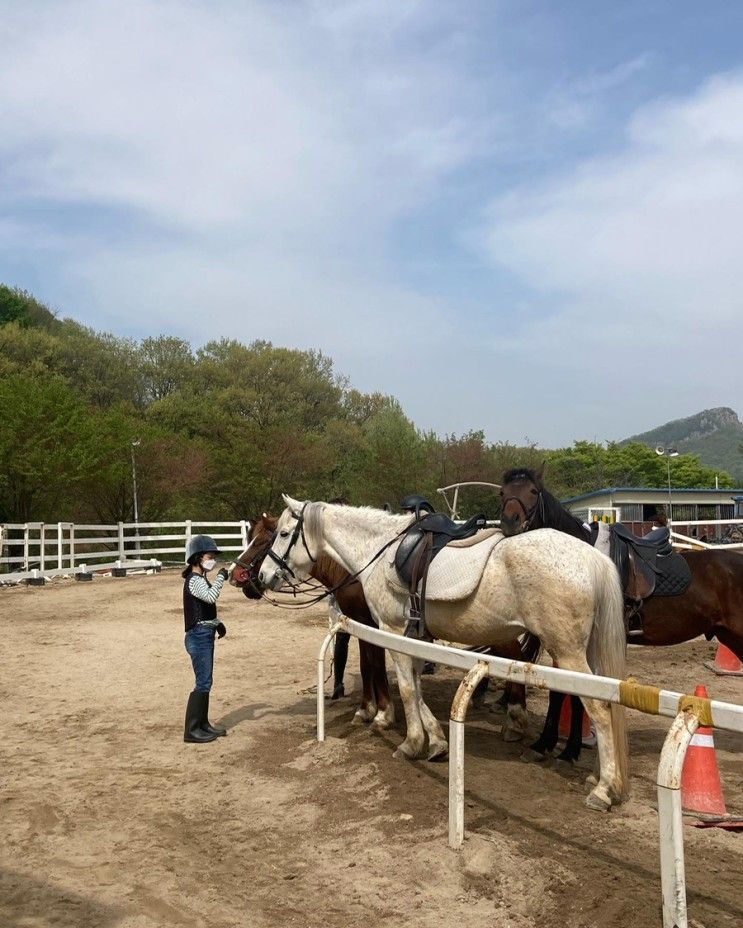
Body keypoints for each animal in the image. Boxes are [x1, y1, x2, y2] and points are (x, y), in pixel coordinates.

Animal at [232, 512, 540, 744]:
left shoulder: (375, 626)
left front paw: (381, 713)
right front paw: (368, 709)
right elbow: (368, 665)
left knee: (516, 657)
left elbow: (374, 665)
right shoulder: (362, 625)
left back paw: (514, 716)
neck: (354, 567)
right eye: (252, 538)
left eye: (266, 540)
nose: (237, 575)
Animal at [496, 464, 743, 760]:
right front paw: (546, 742)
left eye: (533, 491)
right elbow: (560, 689)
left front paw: (570, 749)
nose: (510, 522)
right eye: (502, 492)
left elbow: (579, 692)